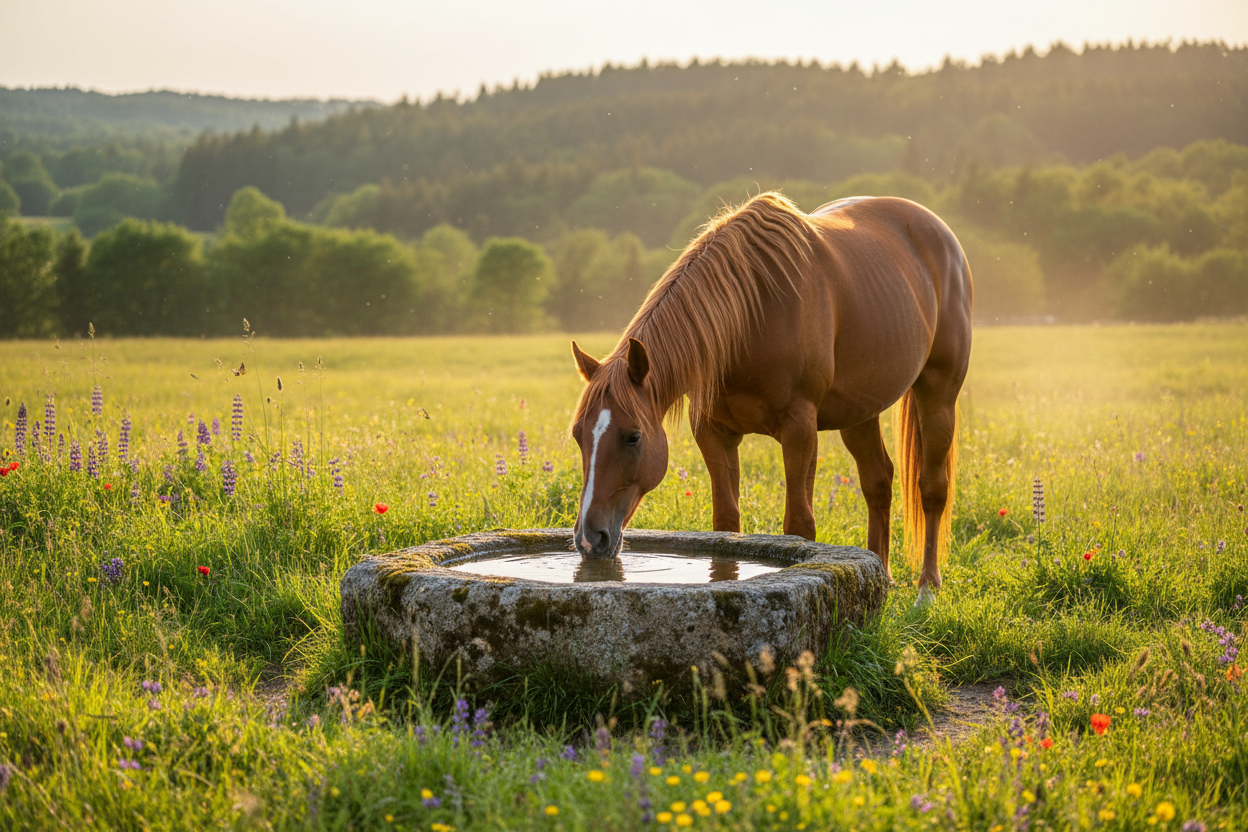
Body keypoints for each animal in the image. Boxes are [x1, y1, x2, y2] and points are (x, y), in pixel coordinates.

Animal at [569, 192, 972, 595]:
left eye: (633, 437)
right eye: (578, 435)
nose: (590, 538)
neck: (748, 319)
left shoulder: (799, 429)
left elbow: (798, 526)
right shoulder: (713, 434)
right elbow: (725, 524)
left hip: (938, 395)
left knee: (932, 488)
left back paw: (927, 588)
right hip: (860, 412)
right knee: (878, 481)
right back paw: (881, 576)